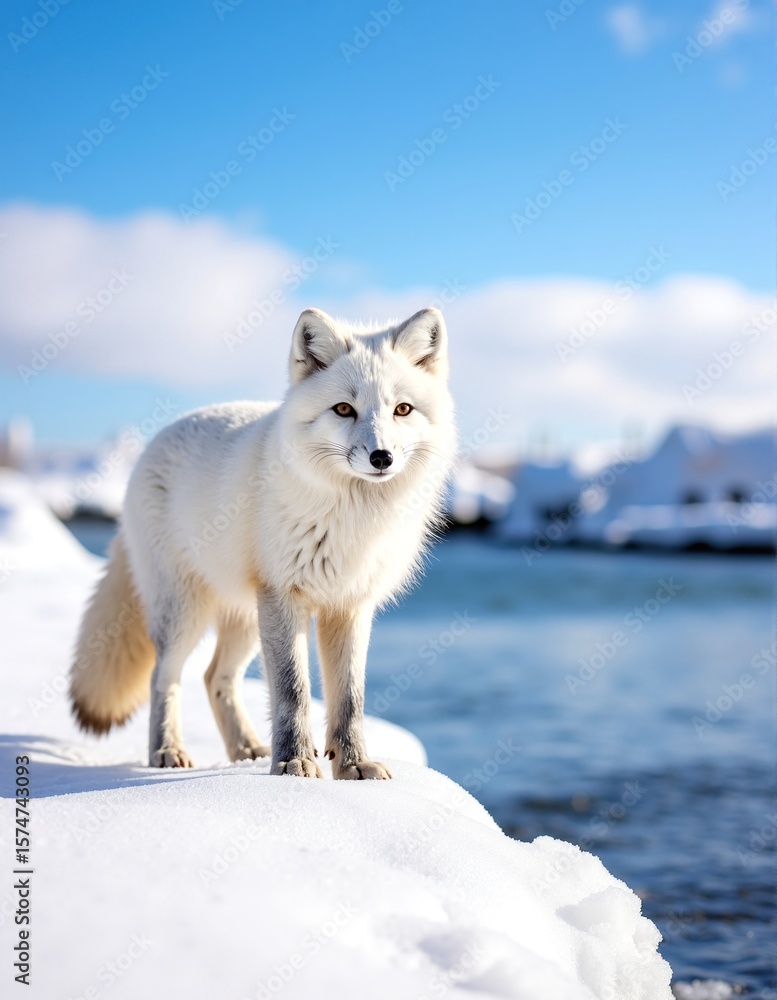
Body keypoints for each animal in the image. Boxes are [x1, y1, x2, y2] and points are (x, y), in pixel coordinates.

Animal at [69, 306, 456, 778]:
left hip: (246, 621)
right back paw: (167, 750)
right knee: (165, 678)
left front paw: (353, 766)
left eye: (402, 409)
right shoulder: (284, 596)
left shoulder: (349, 605)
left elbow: (350, 699)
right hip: (187, 613)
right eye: (344, 409)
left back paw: (246, 749)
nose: (381, 458)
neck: (353, 517)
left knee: (215, 678)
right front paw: (293, 762)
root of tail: (151, 446)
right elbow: (293, 690)